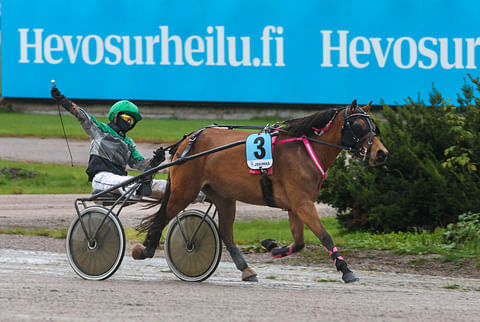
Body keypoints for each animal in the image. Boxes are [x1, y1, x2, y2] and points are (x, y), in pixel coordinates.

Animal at [133, 99, 388, 284]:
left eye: (374, 127)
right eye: (358, 126)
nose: (381, 153)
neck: (304, 150)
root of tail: (188, 140)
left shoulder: (295, 206)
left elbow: (299, 243)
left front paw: (273, 247)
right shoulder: (303, 203)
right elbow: (324, 236)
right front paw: (346, 270)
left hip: (224, 197)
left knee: (225, 232)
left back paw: (246, 269)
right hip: (184, 190)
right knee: (163, 216)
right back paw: (145, 250)